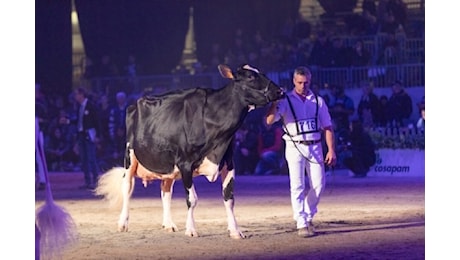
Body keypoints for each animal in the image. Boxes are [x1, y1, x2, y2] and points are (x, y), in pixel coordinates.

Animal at [94, 64, 284, 239]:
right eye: (251, 77)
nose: (280, 91)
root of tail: (136, 103)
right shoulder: (185, 163)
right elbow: (192, 199)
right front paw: (191, 230)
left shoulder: (228, 162)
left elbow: (229, 198)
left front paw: (235, 231)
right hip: (130, 156)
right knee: (127, 187)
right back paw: (123, 223)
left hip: (167, 165)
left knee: (165, 191)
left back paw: (168, 224)